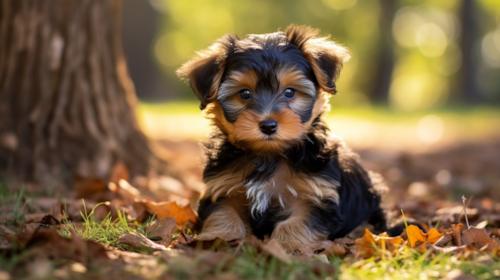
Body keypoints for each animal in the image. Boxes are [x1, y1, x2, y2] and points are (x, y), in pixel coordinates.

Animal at [178, 24, 388, 252]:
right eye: (244, 94)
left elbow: (297, 223)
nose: (268, 125)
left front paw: (286, 247)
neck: (268, 156)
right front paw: (219, 240)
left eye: (289, 92)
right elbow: (223, 214)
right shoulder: (222, 187)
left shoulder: (317, 196)